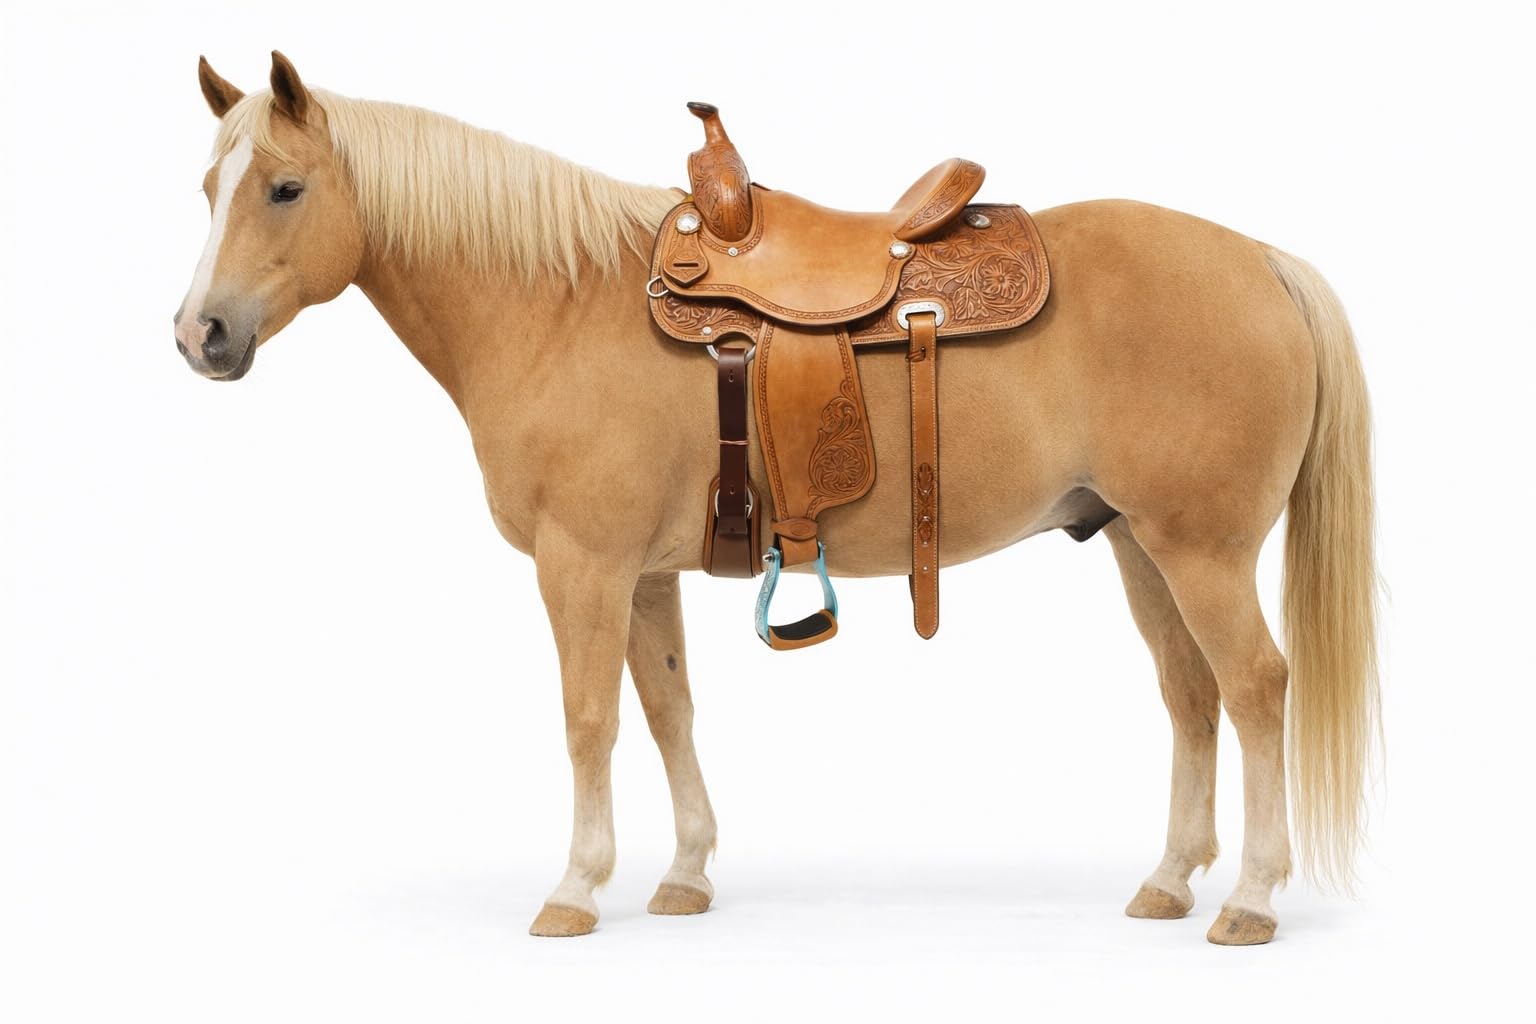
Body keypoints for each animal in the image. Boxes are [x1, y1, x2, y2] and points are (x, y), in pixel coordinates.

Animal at [174, 52, 1378, 945]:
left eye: (285, 188)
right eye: (206, 191)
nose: (201, 336)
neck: (557, 307)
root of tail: (1263, 261)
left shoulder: (583, 563)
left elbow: (587, 717)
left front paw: (575, 887)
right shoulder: (643, 570)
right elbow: (666, 707)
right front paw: (685, 874)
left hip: (1202, 549)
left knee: (1255, 686)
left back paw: (1250, 897)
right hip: (1138, 542)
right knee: (1191, 693)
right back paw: (1171, 880)